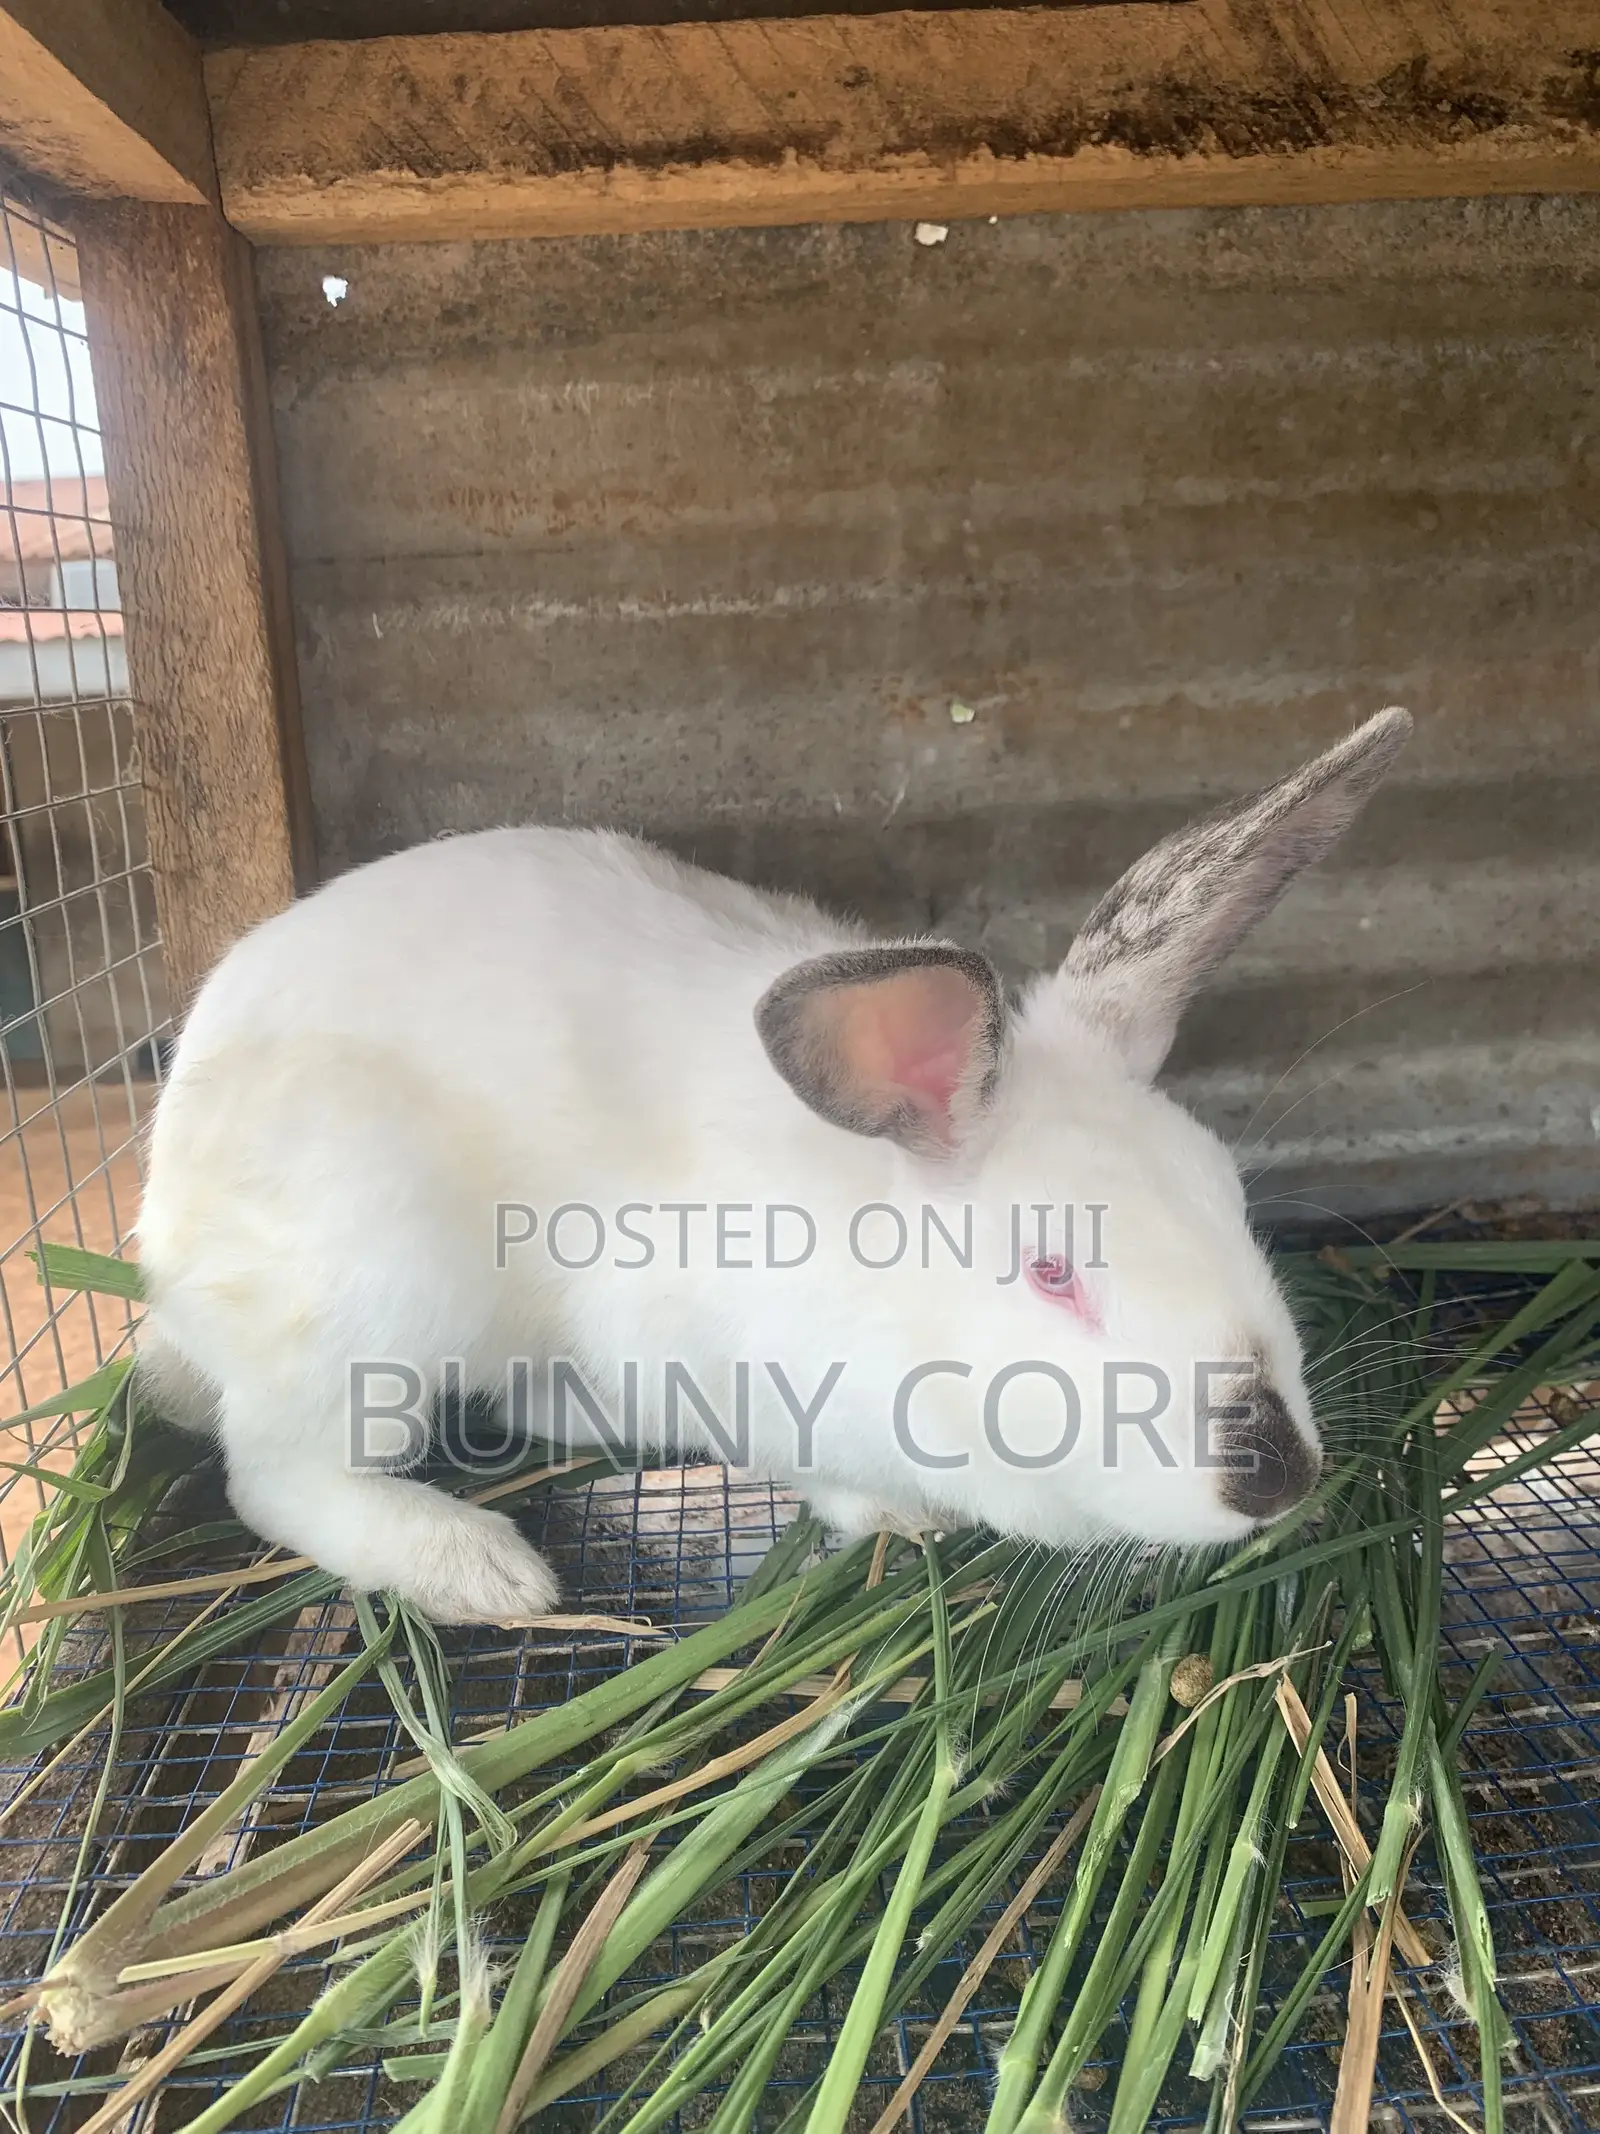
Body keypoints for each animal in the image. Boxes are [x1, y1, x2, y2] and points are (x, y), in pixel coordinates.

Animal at [136, 707, 1410, 1623]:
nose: (1276, 1477)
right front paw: (898, 1519)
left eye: (1230, 1200)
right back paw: (479, 1569)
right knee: (277, 1472)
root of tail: (165, 1240)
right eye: (1052, 1273)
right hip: (369, 1287)